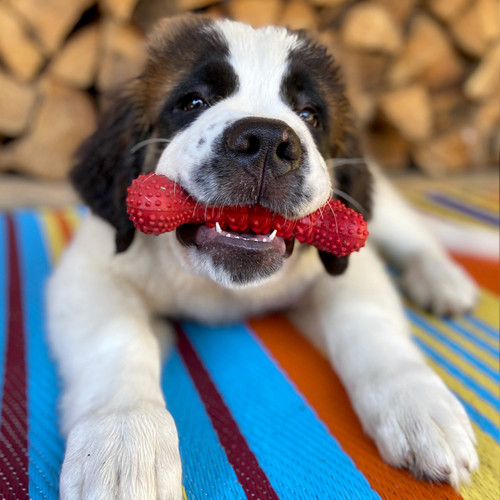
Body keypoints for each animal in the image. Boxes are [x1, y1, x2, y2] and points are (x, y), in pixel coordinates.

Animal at [47, 14, 480, 500]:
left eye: (309, 115)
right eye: (193, 101)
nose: (268, 141)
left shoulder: (346, 268)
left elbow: (369, 325)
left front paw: (419, 404)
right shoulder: (91, 269)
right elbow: (118, 339)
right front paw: (122, 442)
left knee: (417, 236)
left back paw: (443, 281)